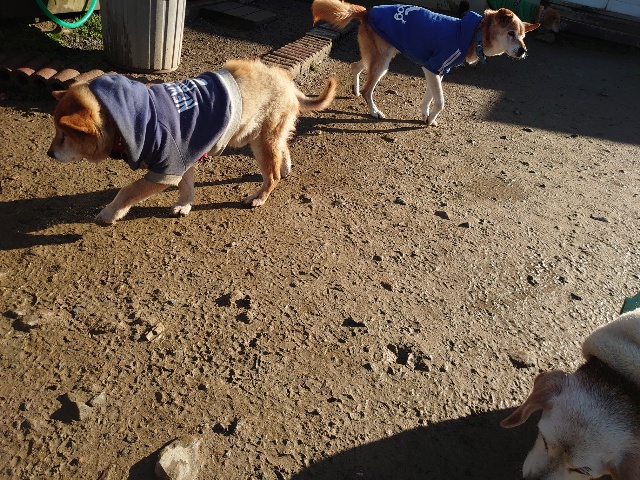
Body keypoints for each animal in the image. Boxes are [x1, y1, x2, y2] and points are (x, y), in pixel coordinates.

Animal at [47, 59, 337, 225]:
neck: (134, 118)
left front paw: (109, 214)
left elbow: (127, 191)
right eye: (56, 132)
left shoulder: (166, 170)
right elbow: (187, 187)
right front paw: (185, 204)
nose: (49, 154)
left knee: (272, 175)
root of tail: (288, 82)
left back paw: (259, 197)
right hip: (261, 136)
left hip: (261, 142)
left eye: (63, 135)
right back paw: (285, 167)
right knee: (283, 150)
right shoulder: (183, 158)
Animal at [311, 0, 538, 125]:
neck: (475, 34)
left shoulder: (438, 71)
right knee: (369, 89)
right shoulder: (432, 67)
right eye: (511, 33)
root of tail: (367, 11)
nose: (523, 51)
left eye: (523, 36)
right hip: (382, 62)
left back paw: (356, 89)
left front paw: (426, 117)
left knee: (356, 66)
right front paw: (430, 119)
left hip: (378, 57)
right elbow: (440, 101)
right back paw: (374, 111)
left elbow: (429, 98)